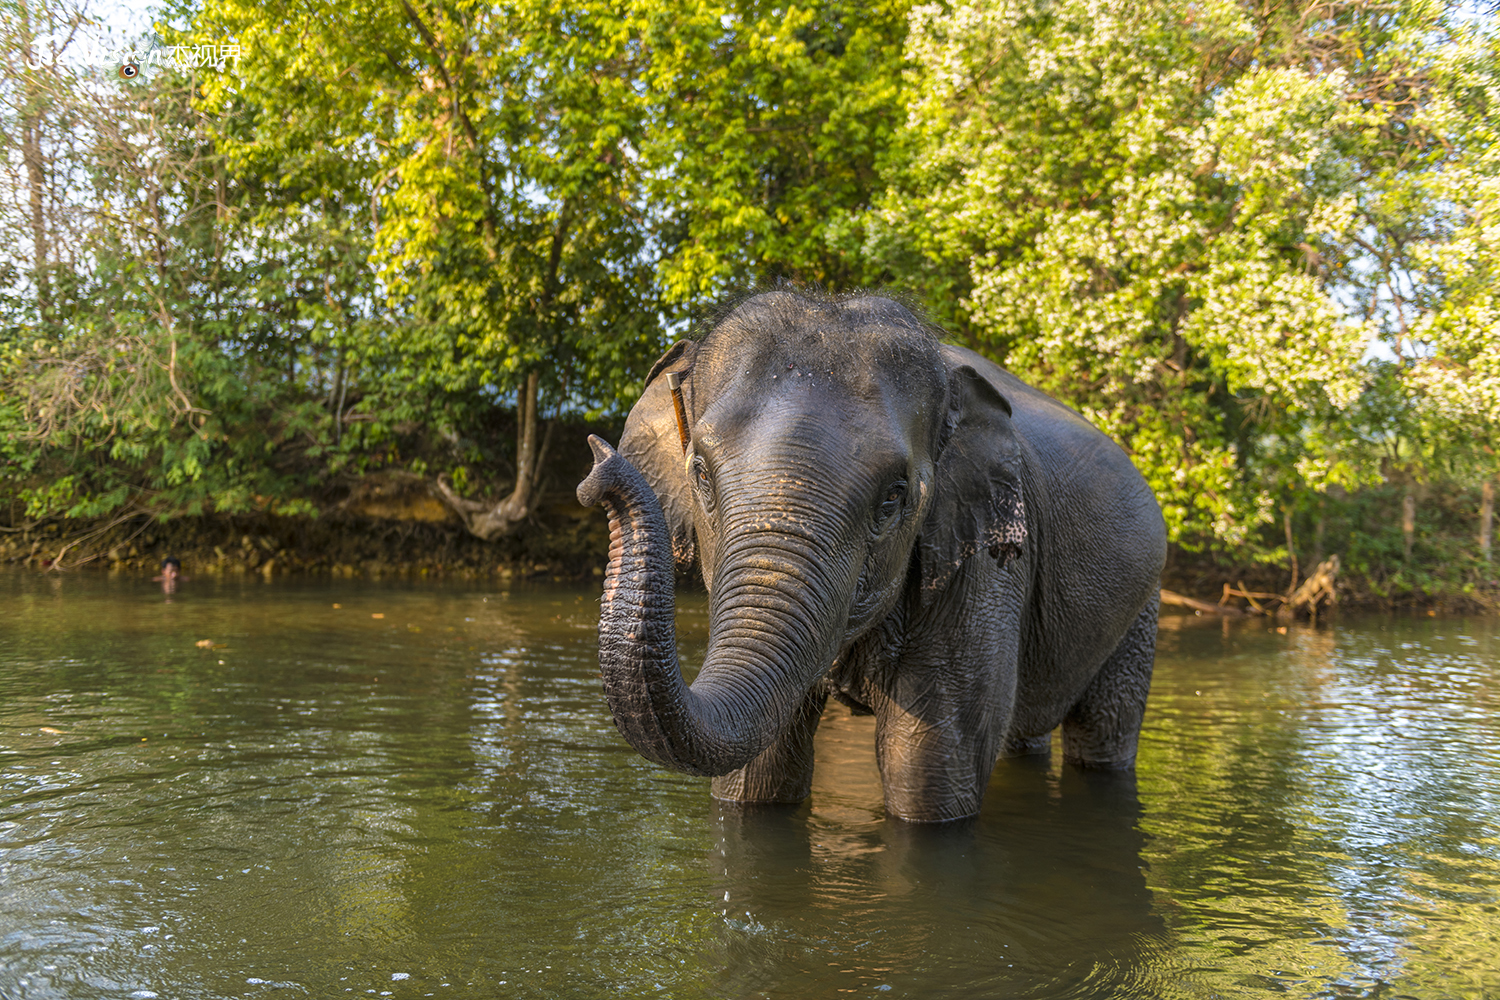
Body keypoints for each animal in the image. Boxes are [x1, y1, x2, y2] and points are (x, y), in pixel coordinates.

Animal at [576, 289, 1170, 821]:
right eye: (699, 471)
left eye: (894, 497)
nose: (596, 465)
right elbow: (760, 770)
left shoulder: (981, 565)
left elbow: (928, 762)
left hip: (1143, 603)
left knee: (1103, 731)